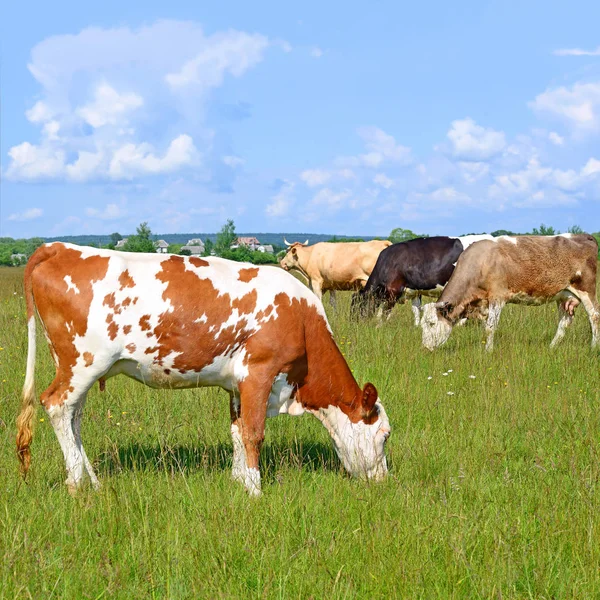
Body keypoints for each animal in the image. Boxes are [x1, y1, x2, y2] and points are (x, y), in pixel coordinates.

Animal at [16, 241, 392, 494]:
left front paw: (238, 481)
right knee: (57, 406)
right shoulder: (259, 372)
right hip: (83, 362)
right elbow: (254, 432)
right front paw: (255, 489)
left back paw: (90, 479)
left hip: (75, 367)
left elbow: (237, 431)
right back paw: (77, 481)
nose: (384, 479)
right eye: (385, 435)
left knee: (74, 417)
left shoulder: (237, 384)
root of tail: (58, 247)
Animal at [422, 232, 600, 350]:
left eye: (431, 323)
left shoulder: (497, 297)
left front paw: (488, 352)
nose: (424, 347)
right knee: (564, 322)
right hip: (564, 295)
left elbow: (490, 327)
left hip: (586, 289)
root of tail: (584, 236)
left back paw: (593, 348)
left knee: (594, 316)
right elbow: (486, 327)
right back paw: (551, 347)